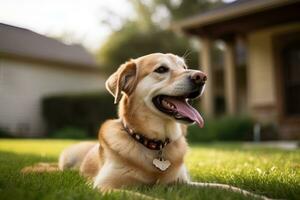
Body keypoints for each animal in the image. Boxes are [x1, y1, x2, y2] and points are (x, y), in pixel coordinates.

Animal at [22, 52, 272, 199]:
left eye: (184, 66)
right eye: (161, 69)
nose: (202, 77)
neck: (154, 143)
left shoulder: (184, 182)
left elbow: (230, 188)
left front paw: (261, 196)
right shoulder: (105, 186)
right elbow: (144, 196)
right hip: (67, 159)